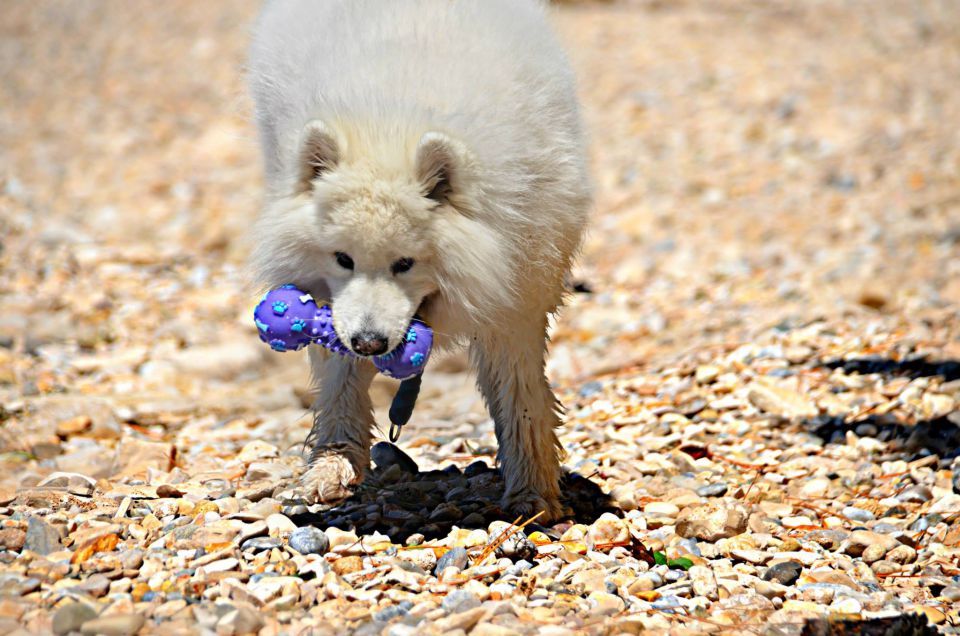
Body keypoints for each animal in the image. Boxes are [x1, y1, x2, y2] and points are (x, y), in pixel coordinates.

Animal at [246, 0, 592, 520]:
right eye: (343, 258)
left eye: (405, 263)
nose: (370, 342)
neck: (388, 127)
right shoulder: (335, 308)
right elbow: (340, 383)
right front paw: (332, 466)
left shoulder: (516, 297)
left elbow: (522, 399)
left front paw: (532, 496)